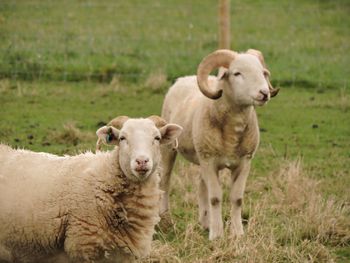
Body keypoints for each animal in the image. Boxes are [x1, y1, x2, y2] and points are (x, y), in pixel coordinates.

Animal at [161, 48, 278, 240]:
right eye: (237, 73)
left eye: (263, 72)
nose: (264, 93)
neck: (232, 133)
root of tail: (184, 78)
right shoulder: (210, 161)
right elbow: (215, 198)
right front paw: (216, 235)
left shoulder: (244, 163)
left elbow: (237, 199)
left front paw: (237, 233)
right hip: (170, 149)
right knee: (165, 181)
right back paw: (165, 219)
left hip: (202, 157)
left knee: (201, 185)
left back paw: (204, 222)